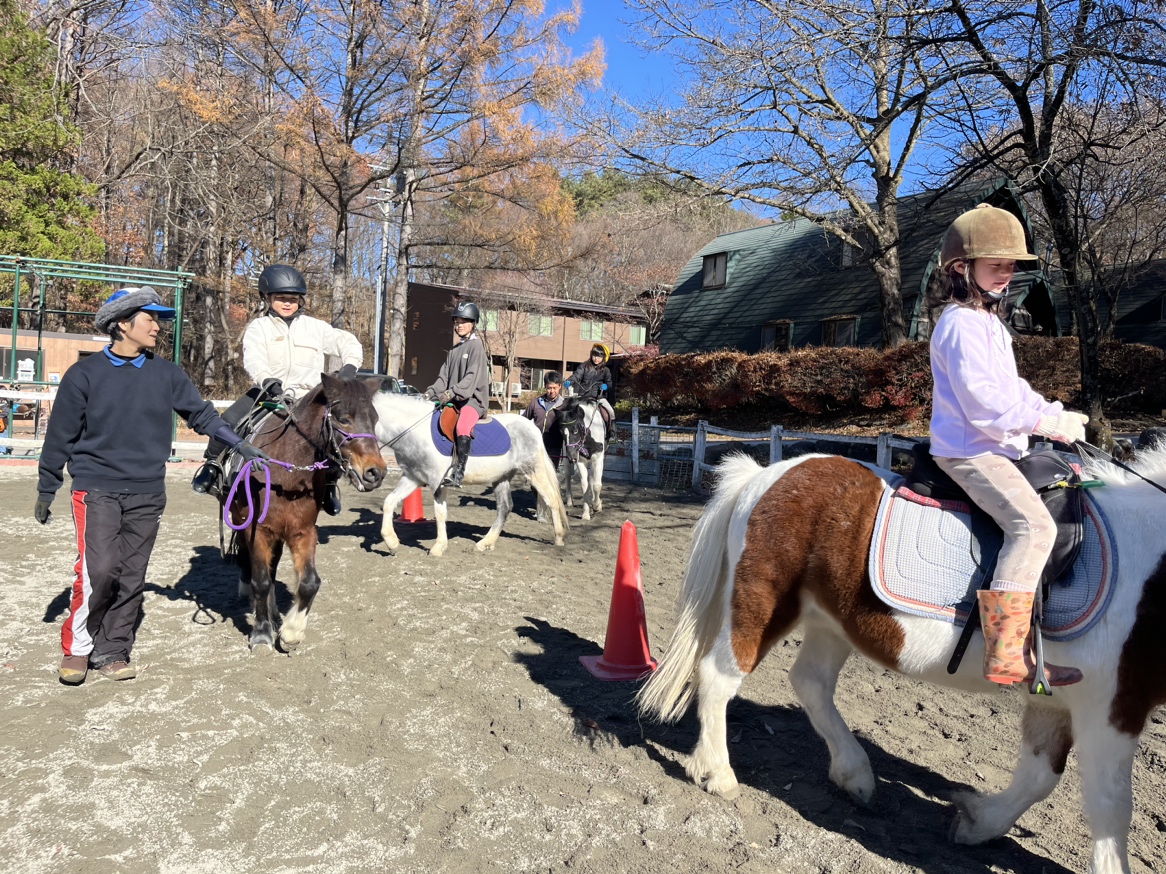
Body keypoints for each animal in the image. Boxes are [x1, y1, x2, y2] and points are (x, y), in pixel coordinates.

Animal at [226, 373, 387, 651]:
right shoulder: (259, 530)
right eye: (344, 418)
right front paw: (261, 633)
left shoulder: (303, 531)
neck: (286, 477)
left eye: (375, 419)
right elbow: (261, 580)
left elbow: (310, 582)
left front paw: (291, 631)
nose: (375, 473)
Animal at [371, 392, 568, 556]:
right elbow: (389, 502)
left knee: (551, 499)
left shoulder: (437, 482)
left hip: (533, 470)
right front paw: (391, 542)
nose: (372, 472)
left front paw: (438, 547)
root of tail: (532, 427)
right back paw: (485, 543)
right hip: (501, 478)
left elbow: (440, 513)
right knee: (504, 508)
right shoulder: (413, 478)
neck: (416, 431)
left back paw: (559, 538)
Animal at [637, 449, 1166, 874]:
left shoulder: (1058, 699)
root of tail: (765, 474)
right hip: (762, 605)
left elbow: (1039, 776)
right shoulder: (1112, 706)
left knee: (809, 682)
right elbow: (1111, 806)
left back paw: (854, 774)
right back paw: (717, 774)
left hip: (830, 622)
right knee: (719, 677)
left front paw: (976, 824)